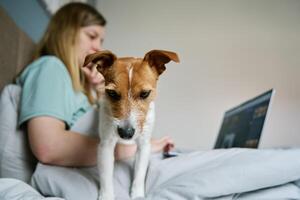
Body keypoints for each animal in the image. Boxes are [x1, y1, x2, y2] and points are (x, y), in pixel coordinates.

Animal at [83, 49, 179, 199]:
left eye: (145, 94)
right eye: (112, 93)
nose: (126, 133)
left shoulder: (144, 145)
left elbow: (139, 173)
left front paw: (137, 194)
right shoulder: (106, 145)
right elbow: (106, 175)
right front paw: (106, 195)